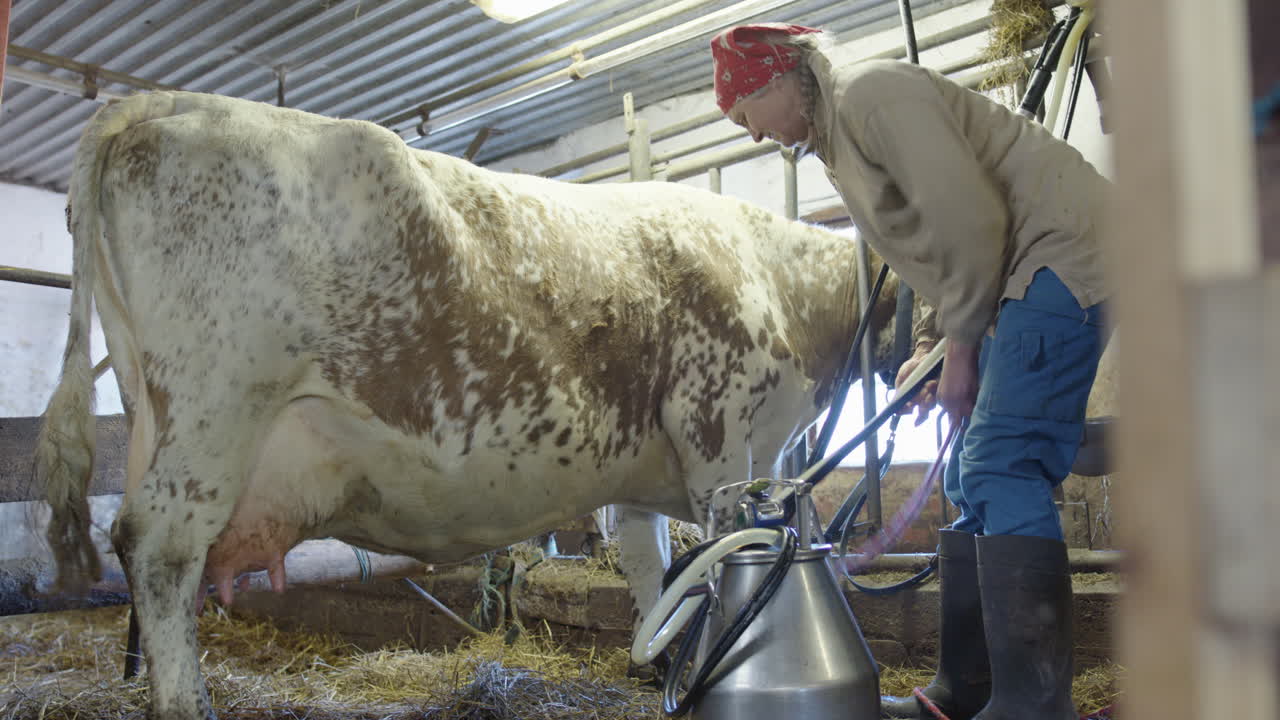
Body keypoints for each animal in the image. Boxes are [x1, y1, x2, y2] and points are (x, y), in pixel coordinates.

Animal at [34, 91, 910, 720]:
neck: (778, 279)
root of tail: (170, 101)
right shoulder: (719, 431)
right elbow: (721, 549)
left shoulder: (650, 467)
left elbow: (651, 568)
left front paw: (660, 659)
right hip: (215, 407)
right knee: (158, 547)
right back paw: (188, 703)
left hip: (156, 412)